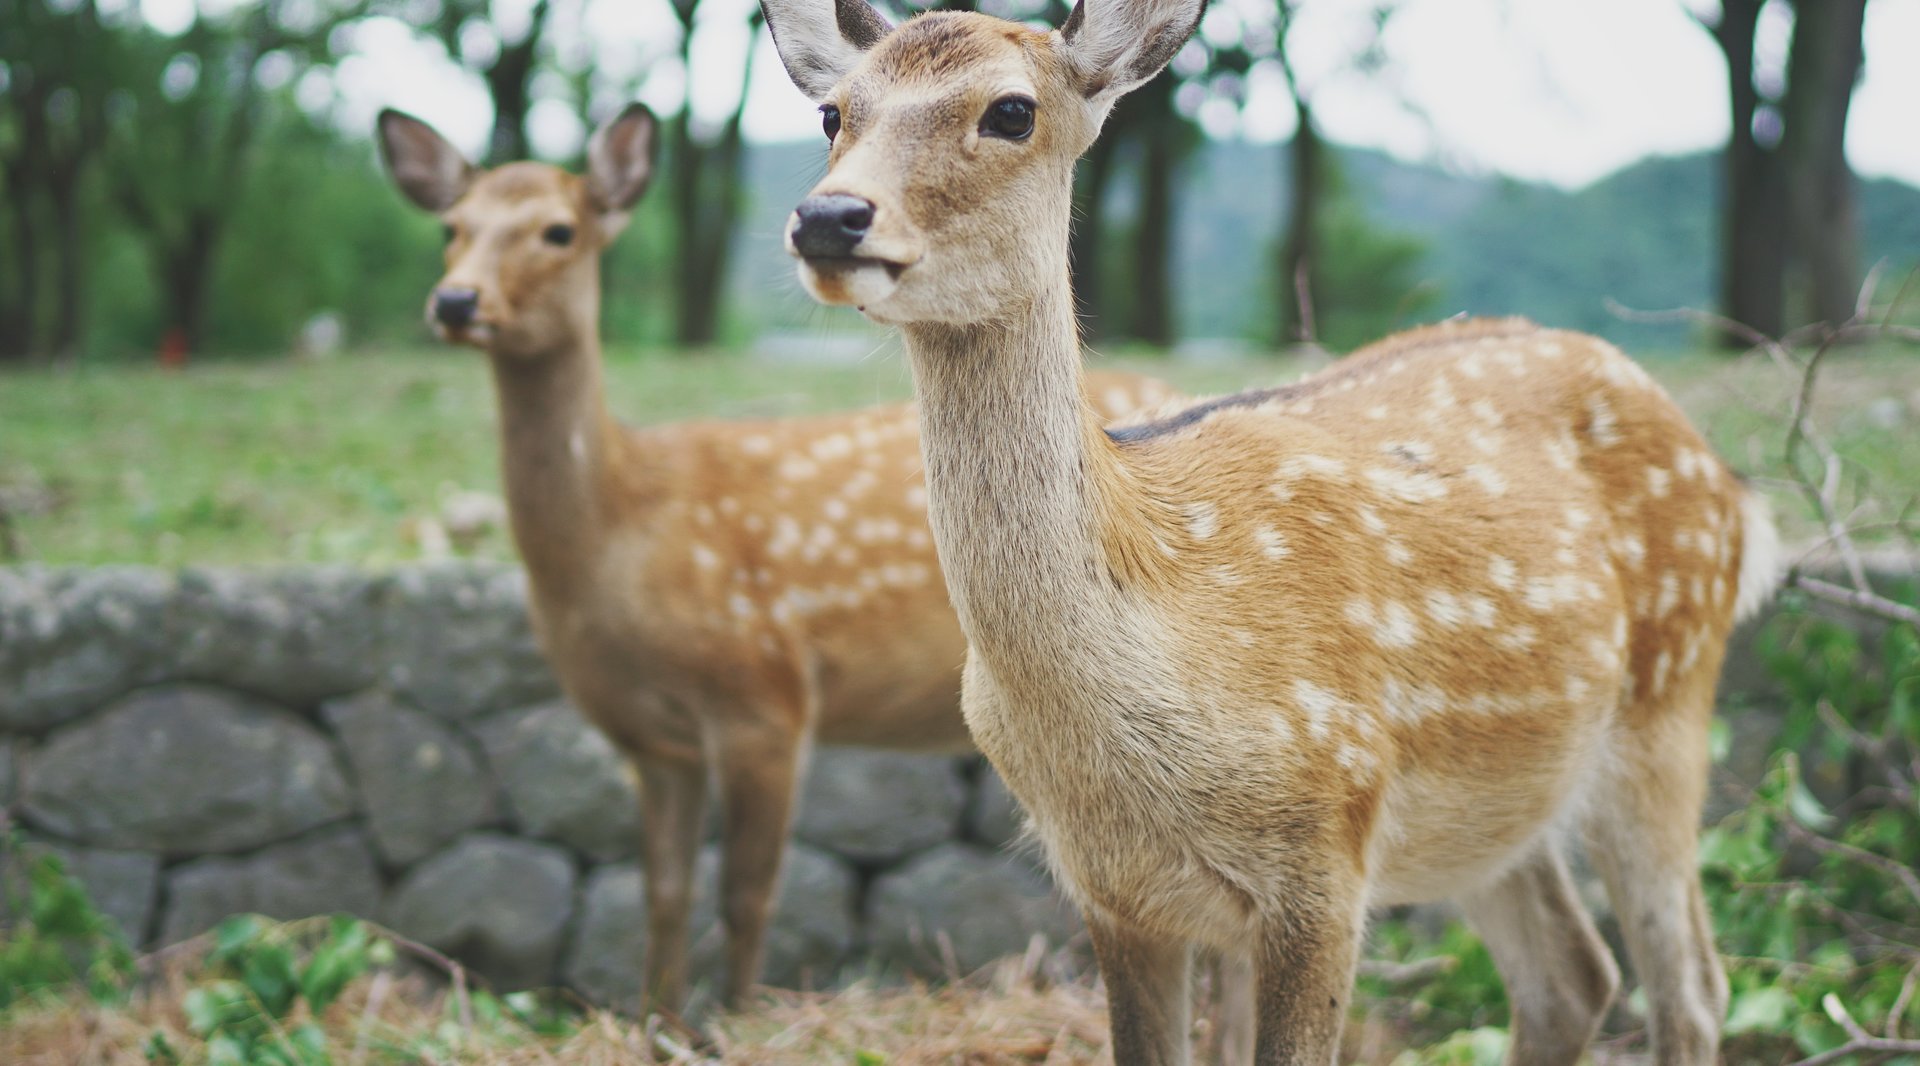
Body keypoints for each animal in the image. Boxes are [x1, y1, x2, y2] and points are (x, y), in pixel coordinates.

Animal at [374, 108, 1182, 1014]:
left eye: (558, 230)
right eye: (451, 228)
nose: (455, 300)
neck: (620, 536)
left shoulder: (765, 693)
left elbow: (749, 893)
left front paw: (733, 1020)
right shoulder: (651, 739)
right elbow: (662, 892)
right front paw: (658, 1023)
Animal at [760, 0, 1781, 1060]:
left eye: (1010, 110)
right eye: (834, 113)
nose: (829, 217)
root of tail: (1733, 488)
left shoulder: (1327, 845)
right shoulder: (1109, 887)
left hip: (1667, 707)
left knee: (1691, 984)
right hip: (1496, 804)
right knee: (1572, 976)